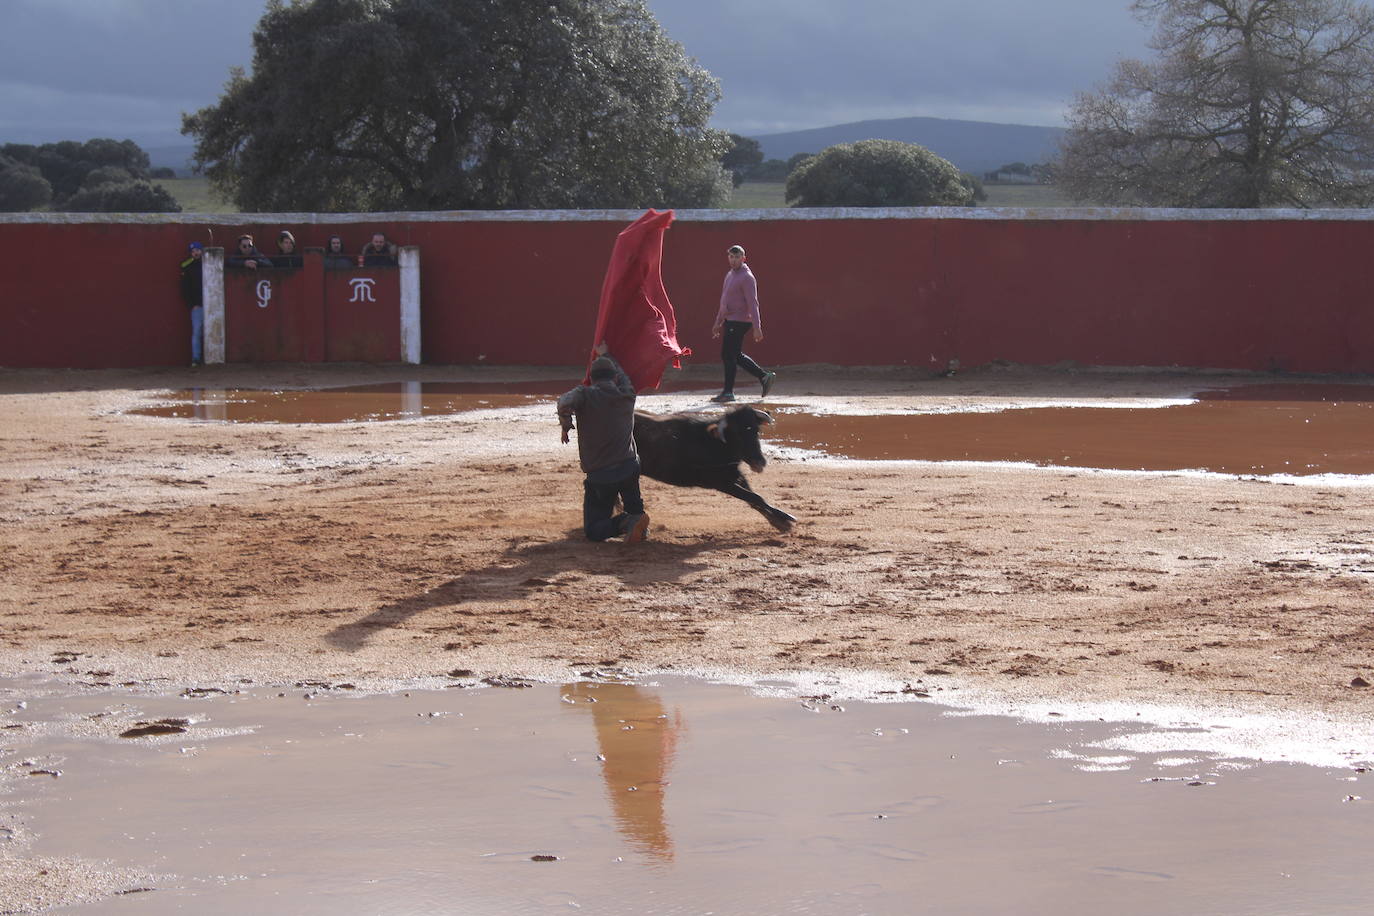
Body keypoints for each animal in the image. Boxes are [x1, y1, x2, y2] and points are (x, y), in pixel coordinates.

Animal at [629, 406, 796, 532]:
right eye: (736, 434)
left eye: (756, 431)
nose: (759, 462)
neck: (713, 442)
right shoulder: (721, 482)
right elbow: (755, 497)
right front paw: (786, 518)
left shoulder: (734, 475)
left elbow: (754, 498)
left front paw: (780, 522)